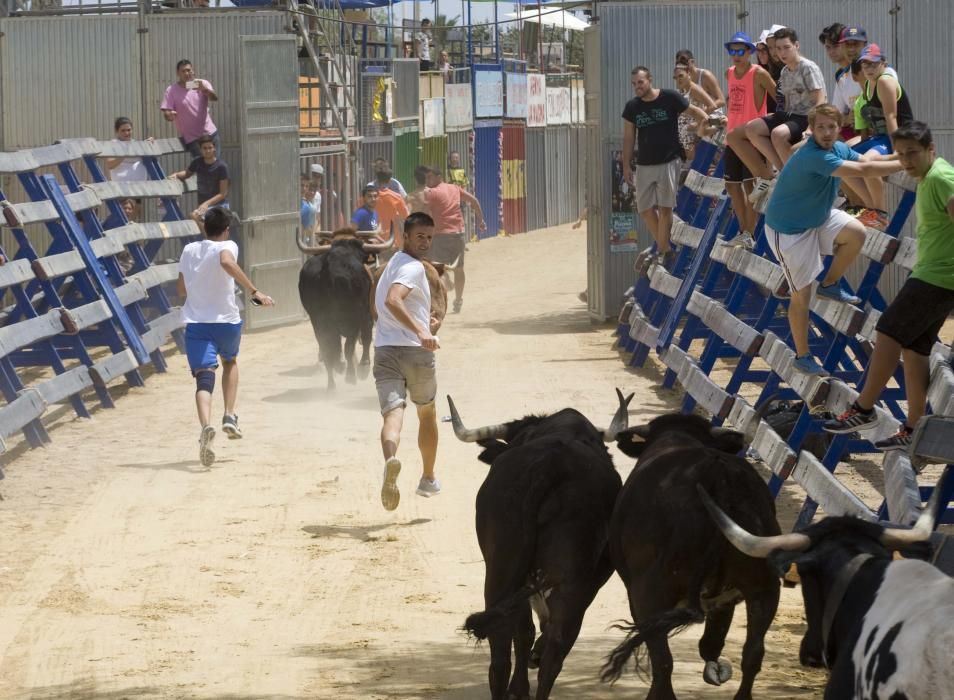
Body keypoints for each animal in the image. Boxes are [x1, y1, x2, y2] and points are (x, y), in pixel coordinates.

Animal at [448, 392, 628, 700]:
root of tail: (553, 465)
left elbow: (525, 631)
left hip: (503, 572)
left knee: (506, 648)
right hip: (565, 585)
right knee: (553, 650)